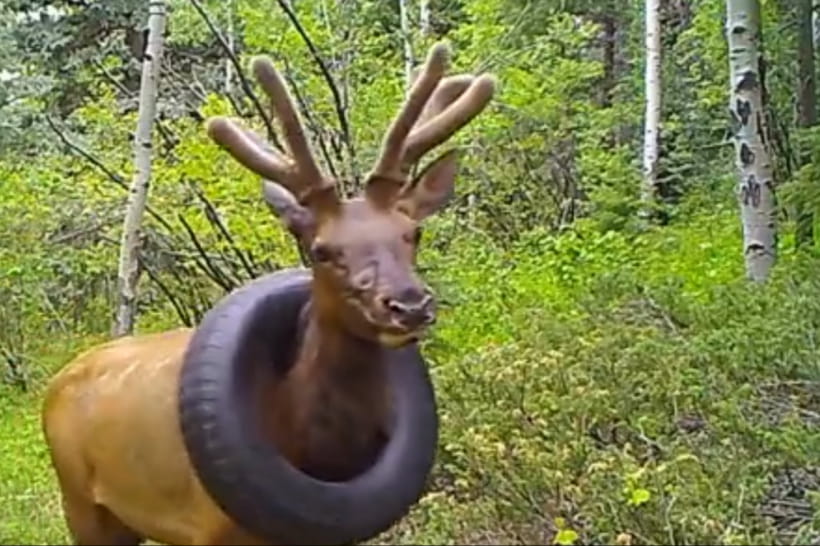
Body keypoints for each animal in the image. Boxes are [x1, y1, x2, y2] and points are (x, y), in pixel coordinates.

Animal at [41, 41, 496, 546]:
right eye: (321, 249)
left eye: (412, 232)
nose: (409, 305)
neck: (308, 443)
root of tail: (55, 384)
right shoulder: (209, 527)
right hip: (81, 503)